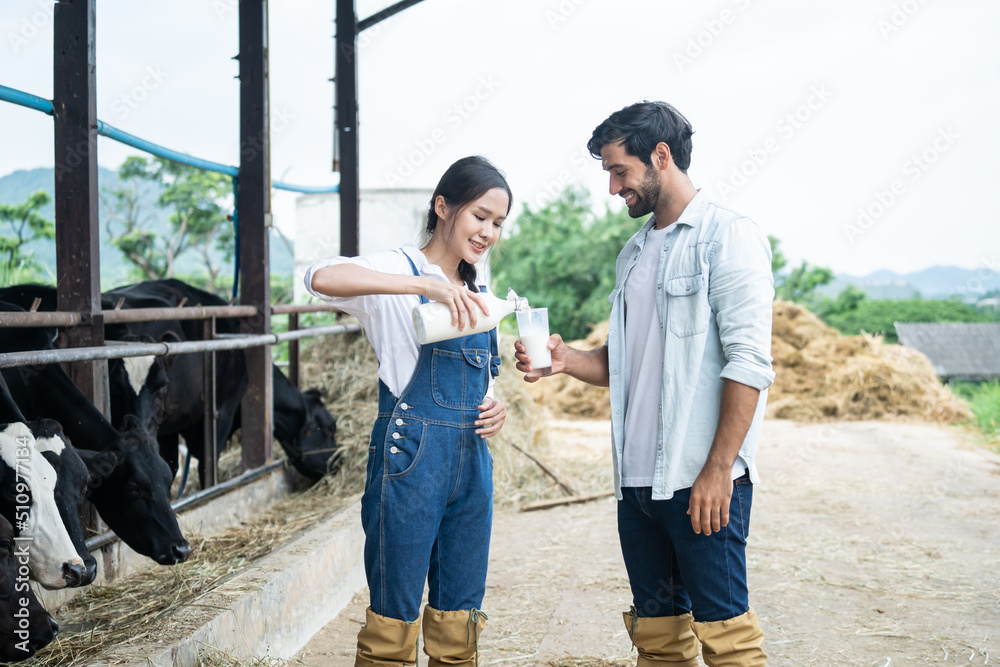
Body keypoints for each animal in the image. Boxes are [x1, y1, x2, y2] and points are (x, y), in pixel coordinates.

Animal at [103, 280, 340, 482]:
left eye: (163, 386)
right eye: (329, 429)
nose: (340, 461)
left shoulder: (167, 428)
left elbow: (169, 467)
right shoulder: (223, 412)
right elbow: (205, 467)